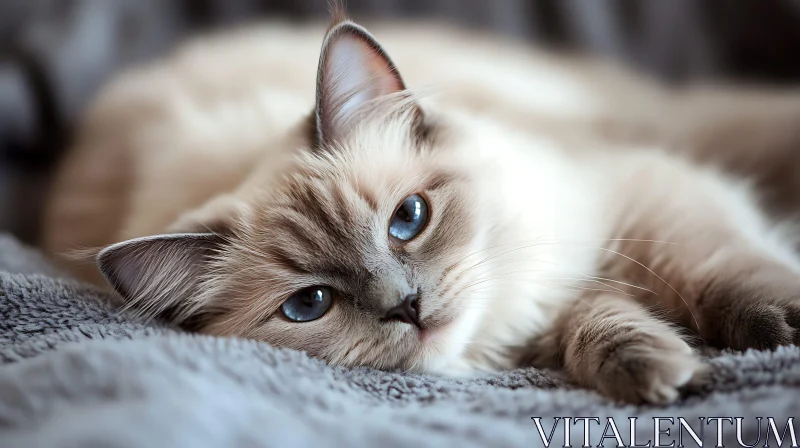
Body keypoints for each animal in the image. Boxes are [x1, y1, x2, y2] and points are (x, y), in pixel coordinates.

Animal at [42, 12, 800, 404]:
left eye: (408, 220)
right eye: (309, 305)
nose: (407, 306)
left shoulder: (632, 196)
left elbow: (720, 270)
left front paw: (779, 329)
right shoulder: (556, 301)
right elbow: (600, 324)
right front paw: (658, 371)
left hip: (675, 126)